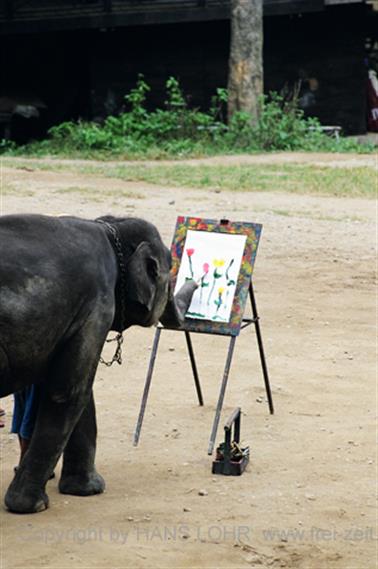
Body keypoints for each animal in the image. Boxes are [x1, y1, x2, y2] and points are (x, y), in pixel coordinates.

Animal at [1, 214, 198, 516]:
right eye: (169, 274)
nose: (197, 280)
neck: (109, 228)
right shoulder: (97, 305)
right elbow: (69, 390)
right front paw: (33, 506)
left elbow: (77, 388)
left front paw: (87, 489)